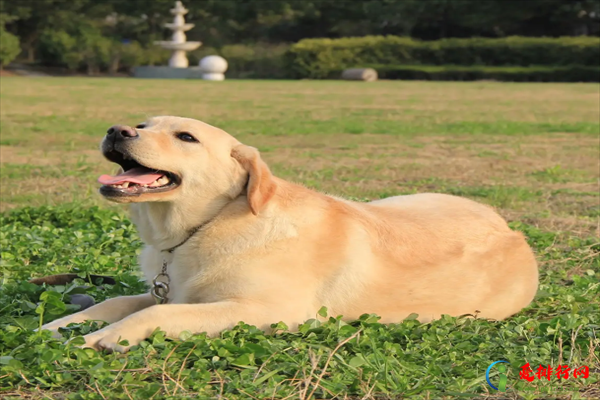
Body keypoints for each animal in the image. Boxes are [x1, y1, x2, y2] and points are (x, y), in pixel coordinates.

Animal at [41, 116, 540, 354]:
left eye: (186, 137)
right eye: (144, 124)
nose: (117, 129)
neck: (209, 224)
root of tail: (512, 231)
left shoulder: (267, 311)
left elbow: (154, 313)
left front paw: (99, 338)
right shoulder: (171, 288)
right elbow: (115, 302)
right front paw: (59, 325)